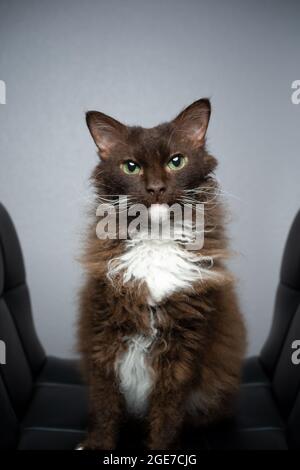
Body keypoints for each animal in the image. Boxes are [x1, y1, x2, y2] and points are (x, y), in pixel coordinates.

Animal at [77, 98, 246, 448]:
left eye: (176, 162)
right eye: (131, 167)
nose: (155, 188)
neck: (156, 240)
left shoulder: (184, 347)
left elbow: (167, 417)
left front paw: (161, 450)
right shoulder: (103, 333)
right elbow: (104, 405)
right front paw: (97, 443)